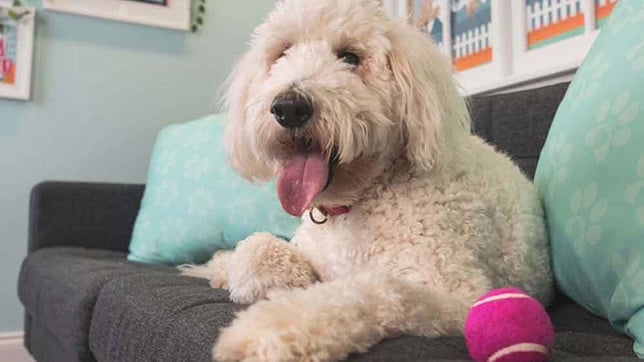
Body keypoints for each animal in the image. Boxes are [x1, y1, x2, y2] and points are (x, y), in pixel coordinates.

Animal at [182, 1, 552, 360]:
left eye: (350, 57)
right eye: (282, 53)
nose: (288, 107)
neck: (355, 203)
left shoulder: (457, 294)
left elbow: (375, 291)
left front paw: (267, 330)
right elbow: (255, 249)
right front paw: (226, 270)